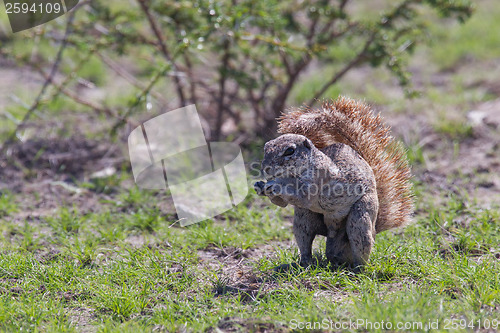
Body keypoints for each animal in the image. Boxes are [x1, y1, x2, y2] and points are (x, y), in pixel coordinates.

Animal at [254, 95, 414, 270]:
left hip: (361, 215)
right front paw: (260, 186)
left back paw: (358, 268)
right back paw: (304, 262)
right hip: (304, 218)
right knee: (306, 240)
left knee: (361, 241)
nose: (266, 168)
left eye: (290, 150)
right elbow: (281, 204)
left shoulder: (319, 178)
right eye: (266, 147)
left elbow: (303, 196)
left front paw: (276, 186)